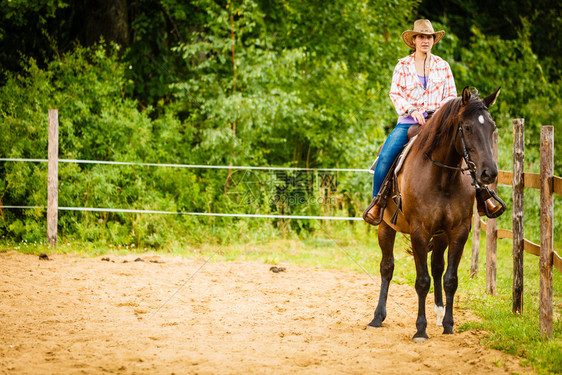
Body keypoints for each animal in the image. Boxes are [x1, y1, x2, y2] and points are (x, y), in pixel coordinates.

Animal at [368, 86, 498, 342]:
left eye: (492, 127)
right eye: (467, 127)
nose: (489, 173)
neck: (442, 177)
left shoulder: (458, 232)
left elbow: (450, 279)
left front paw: (448, 324)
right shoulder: (419, 231)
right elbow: (422, 281)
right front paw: (420, 329)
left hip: (441, 236)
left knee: (437, 266)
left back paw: (439, 313)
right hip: (386, 227)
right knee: (387, 267)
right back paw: (378, 317)